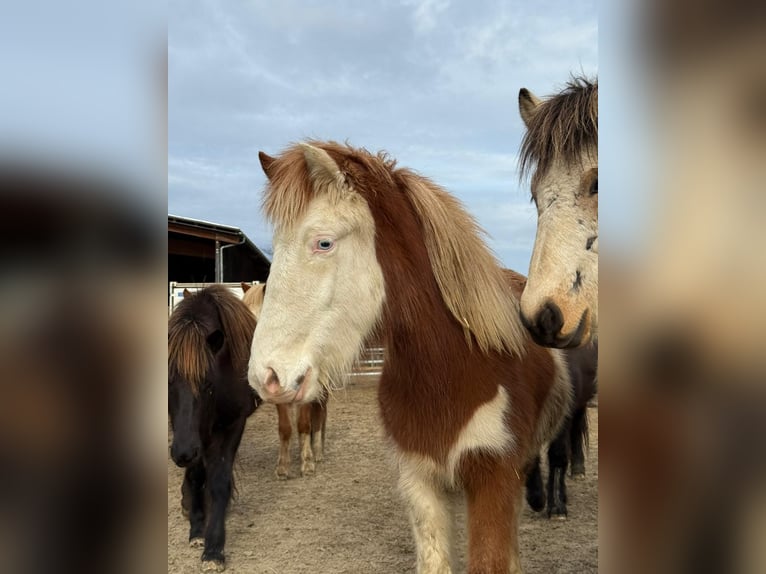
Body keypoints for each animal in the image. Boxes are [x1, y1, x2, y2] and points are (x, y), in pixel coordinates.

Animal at [168, 285, 262, 572]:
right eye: (167, 383)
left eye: (207, 384)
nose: (182, 453)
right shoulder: (187, 435)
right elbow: (196, 475)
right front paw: (197, 527)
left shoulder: (232, 425)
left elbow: (220, 481)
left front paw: (214, 548)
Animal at [241, 282, 328, 477]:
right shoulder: (278, 396)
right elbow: (285, 428)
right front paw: (282, 467)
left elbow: (304, 424)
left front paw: (307, 463)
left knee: (320, 416)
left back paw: (318, 451)